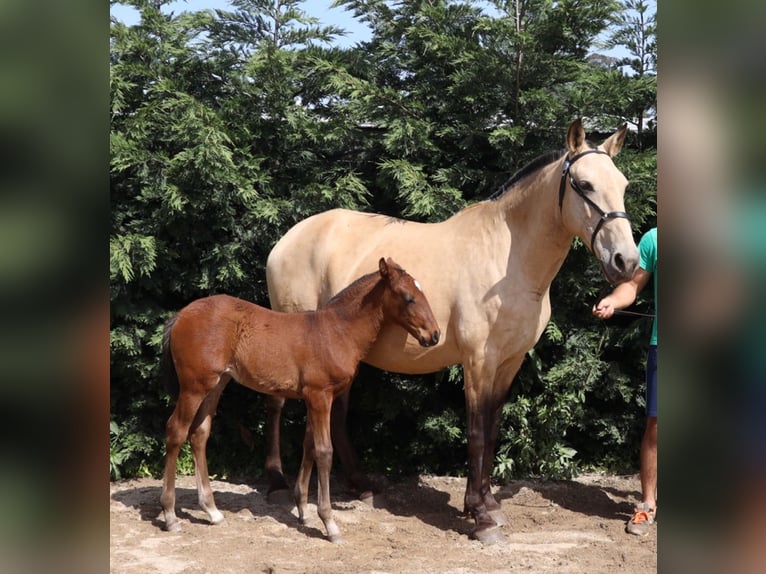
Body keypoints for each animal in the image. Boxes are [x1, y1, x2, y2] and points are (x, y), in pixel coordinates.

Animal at [159, 258, 440, 544]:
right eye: (408, 297)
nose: (435, 334)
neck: (337, 331)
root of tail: (180, 315)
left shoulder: (311, 398)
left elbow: (309, 447)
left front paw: (303, 510)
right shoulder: (320, 395)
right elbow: (325, 451)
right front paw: (329, 523)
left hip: (217, 384)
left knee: (199, 434)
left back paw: (212, 511)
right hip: (194, 386)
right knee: (176, 431)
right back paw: (170, 515)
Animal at [266, 120, 640, 544]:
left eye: (623, 184)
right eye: (585, 185)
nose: (626, 261)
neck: (507, 261)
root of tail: (286, 240)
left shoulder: (509, 362)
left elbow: (492, 430)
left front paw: (488, 503)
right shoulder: (478, 360)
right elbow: (476, 432)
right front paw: (479, 516)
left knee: (337, 414)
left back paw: (361, 485)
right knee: (277, 405)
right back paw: (277, 482)